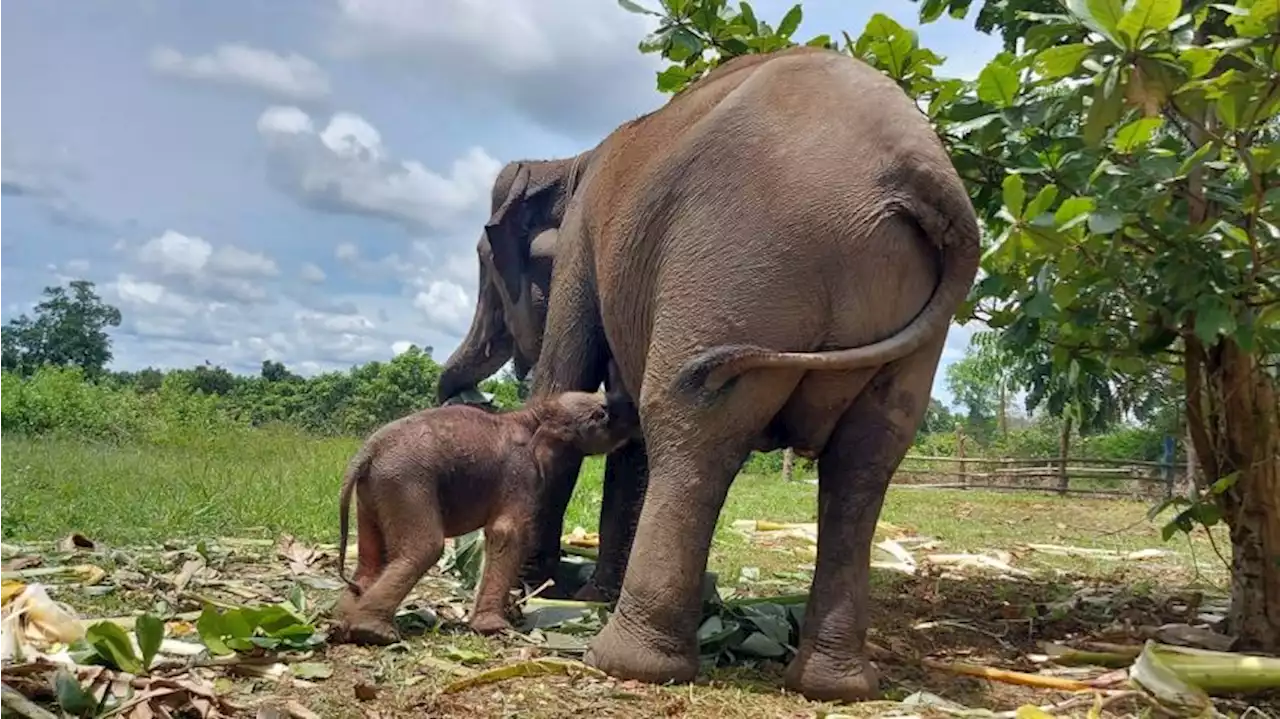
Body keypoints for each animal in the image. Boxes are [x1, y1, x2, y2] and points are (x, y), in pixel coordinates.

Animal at [332, 383, 637, 639]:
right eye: (601, 413)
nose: (632, 406)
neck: (534, 415)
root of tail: (367, 451)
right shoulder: (520, 473)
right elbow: (507, 533)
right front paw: (496, 628)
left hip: (372, 491)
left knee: (372, 557)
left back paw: (344, 618)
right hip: (406, 483)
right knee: (424, 549)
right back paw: (372, 632)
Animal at [440, 46, 977, 701]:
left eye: (485, 266)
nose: (474, 396)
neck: (571, 163)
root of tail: (918, 169)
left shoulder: (582, 247)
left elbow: (567, 387)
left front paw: (539, 591)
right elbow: (622, 426)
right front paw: (589, 592)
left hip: (740, 266)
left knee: (689, 424)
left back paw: (623, 663)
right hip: (905, 329)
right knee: (867, 457)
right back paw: (835, 686)